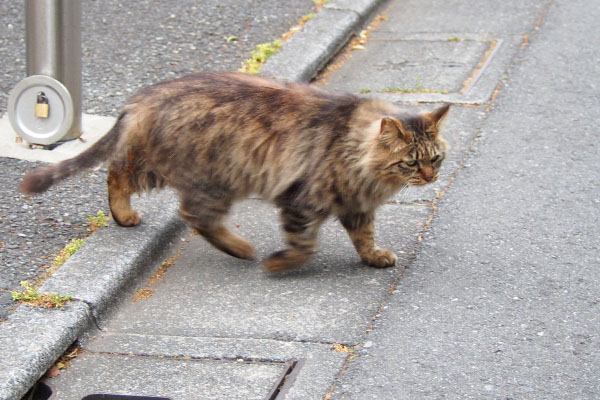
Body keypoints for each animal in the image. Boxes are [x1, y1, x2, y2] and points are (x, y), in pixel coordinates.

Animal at [19, 72, 450, 272]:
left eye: (436, 159)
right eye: (411, 162)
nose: (430, 177)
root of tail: (148, 95)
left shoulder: (355, 205)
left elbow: (364, 237)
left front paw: (374, 257)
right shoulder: (302, 199)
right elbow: (304, 245)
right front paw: (280, 264)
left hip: (167, 168)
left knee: (118, 172)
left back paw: (123, 216)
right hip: (211, 180)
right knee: (186, 211)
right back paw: (241, 249)